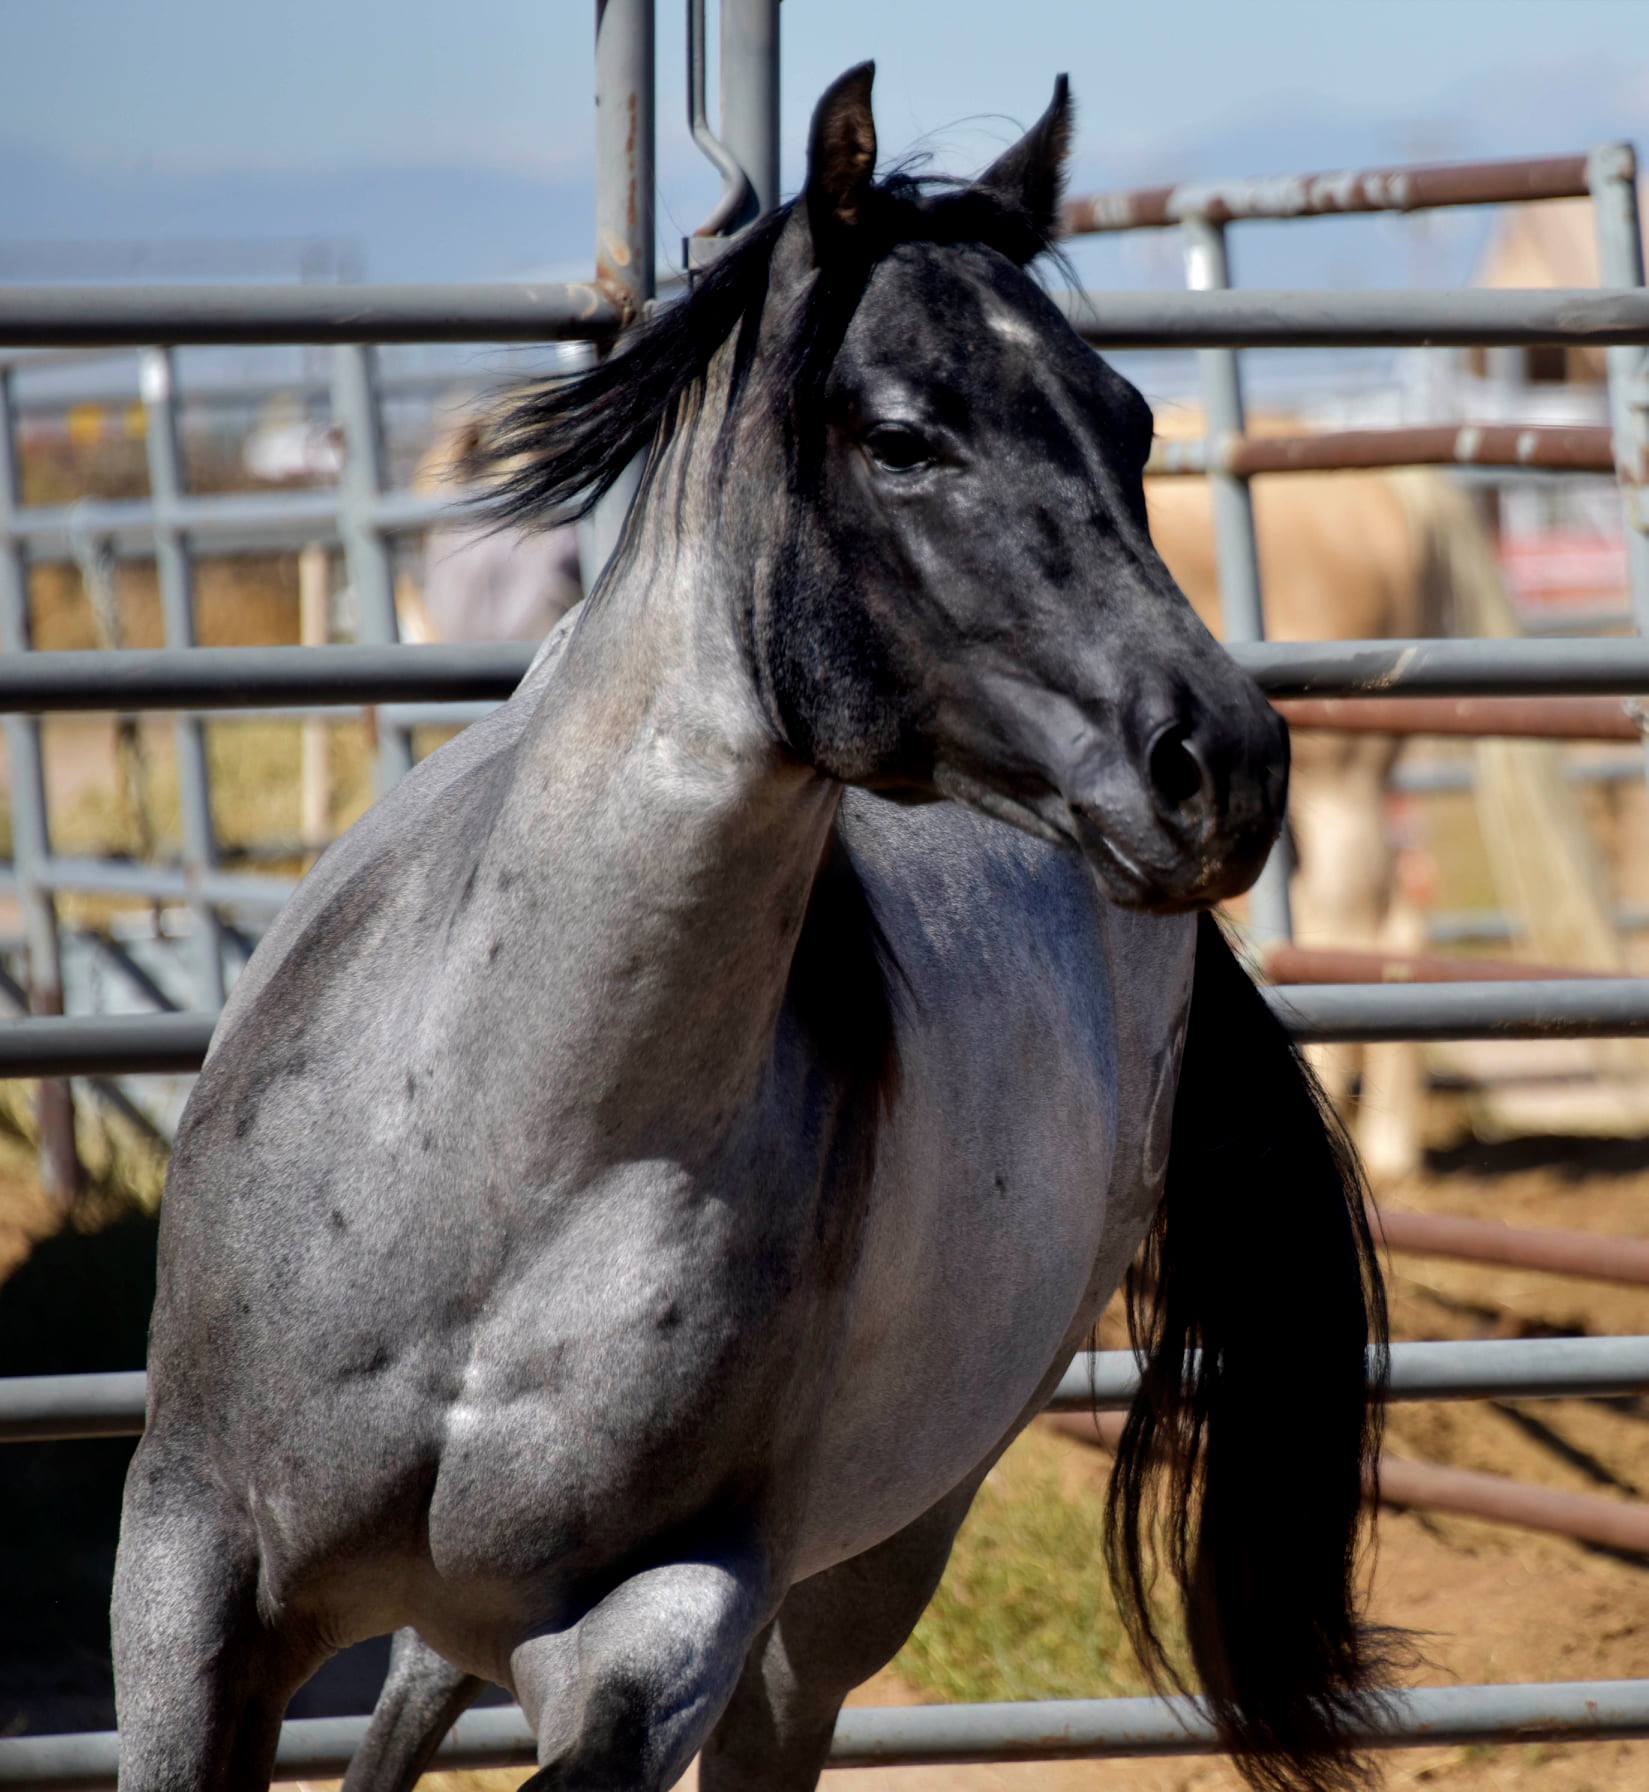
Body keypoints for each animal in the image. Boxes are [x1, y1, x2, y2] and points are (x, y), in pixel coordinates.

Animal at [109, 63, 1390, 1792]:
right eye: (904, 438)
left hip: (853, 1583)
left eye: (1128, 422)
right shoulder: (187, 1566)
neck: (504, 1166)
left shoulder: (670, 1619)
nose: (1224, 765)